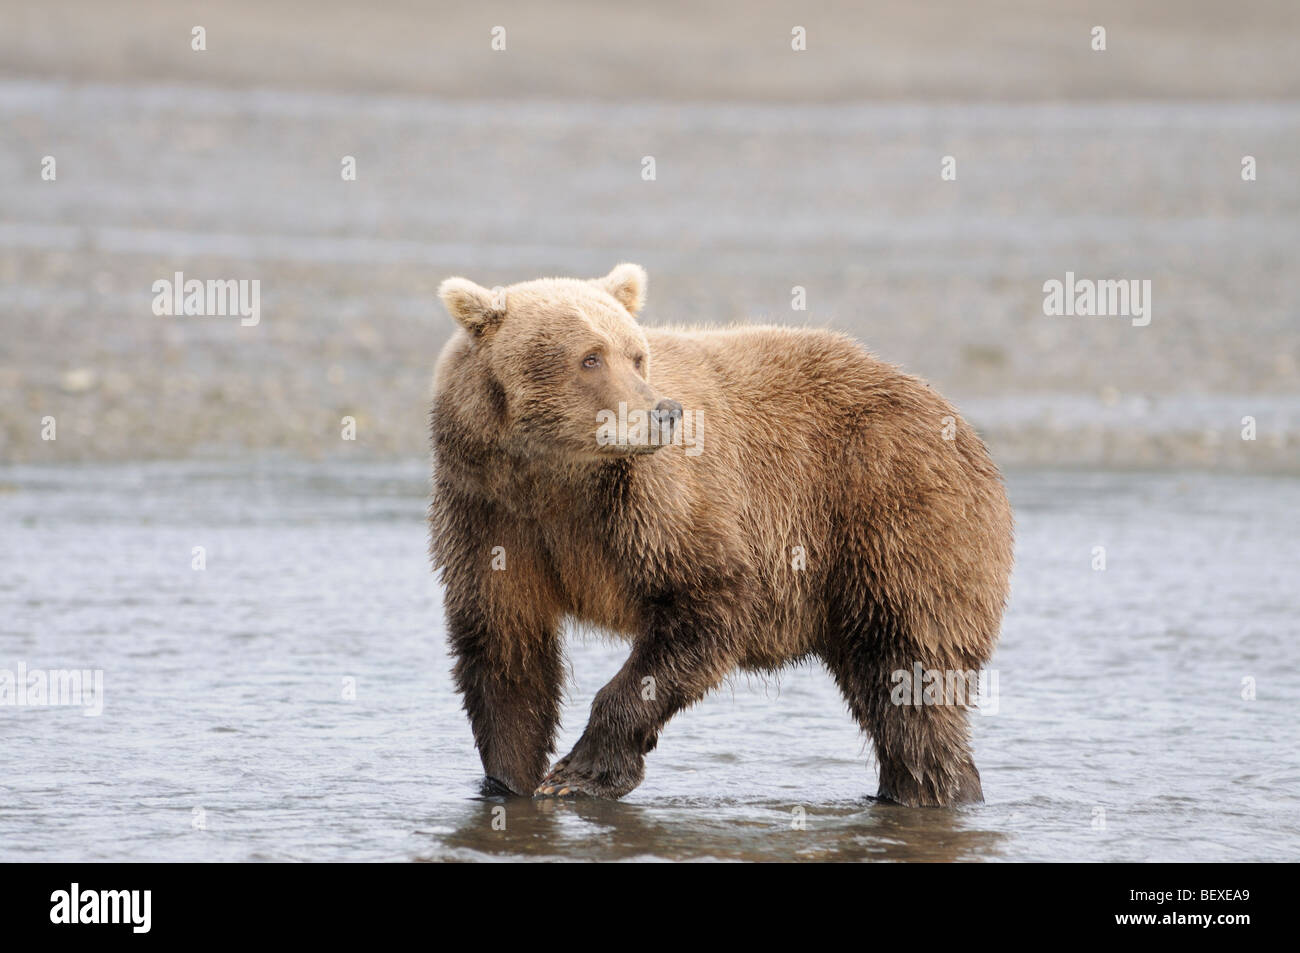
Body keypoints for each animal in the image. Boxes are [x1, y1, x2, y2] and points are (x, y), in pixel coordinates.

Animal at [429, 264, 1013, 807]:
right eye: (590, 357)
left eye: (636, 355)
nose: (663, 413)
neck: (555, 477)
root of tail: (956, 419)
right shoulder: (491, 514)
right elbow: (505, 648)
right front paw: (510, 783)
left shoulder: (655, 504)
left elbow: (710, 602)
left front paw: (580, 774)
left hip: (890, 514)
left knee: (907, 678)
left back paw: (935, 791)